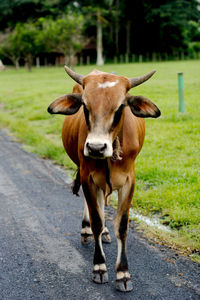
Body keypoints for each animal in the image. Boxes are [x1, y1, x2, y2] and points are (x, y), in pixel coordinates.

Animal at [47, 66, 161, 292]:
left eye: (120, 107)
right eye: (85, 106)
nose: (96, 148)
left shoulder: (129, 182)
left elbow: (122, 226)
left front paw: (123, 273)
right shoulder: (87, 176)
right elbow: (97, 221)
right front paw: (99, 267)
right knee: (93, 208)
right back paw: (86, 230)